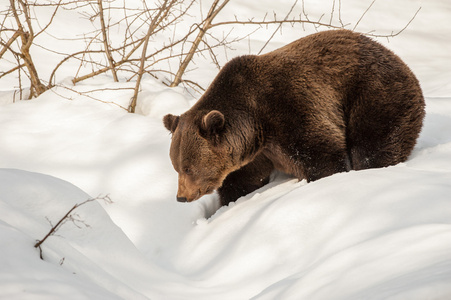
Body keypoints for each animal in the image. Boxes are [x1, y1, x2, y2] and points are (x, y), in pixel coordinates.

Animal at [164, 29, 426, 206]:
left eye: (188, 167)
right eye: (176, 166)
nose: (181, 197)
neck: (255, 124)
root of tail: (401, 61)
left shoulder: (290, 108)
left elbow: (321, 152)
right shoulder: (254, 154)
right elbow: (242, 181)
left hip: (375, 94)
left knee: (373, 144)